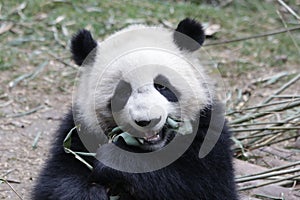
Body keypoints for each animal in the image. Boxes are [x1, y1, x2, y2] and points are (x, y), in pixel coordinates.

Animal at [32, 18, 238, 199]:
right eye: (123, 92)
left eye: (161, 86)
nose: (147, 121)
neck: (148, 150)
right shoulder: (80, 131)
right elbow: (55, 181)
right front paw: (91, 193)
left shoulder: (207, 130)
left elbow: (202, 185)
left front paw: (114, 159)